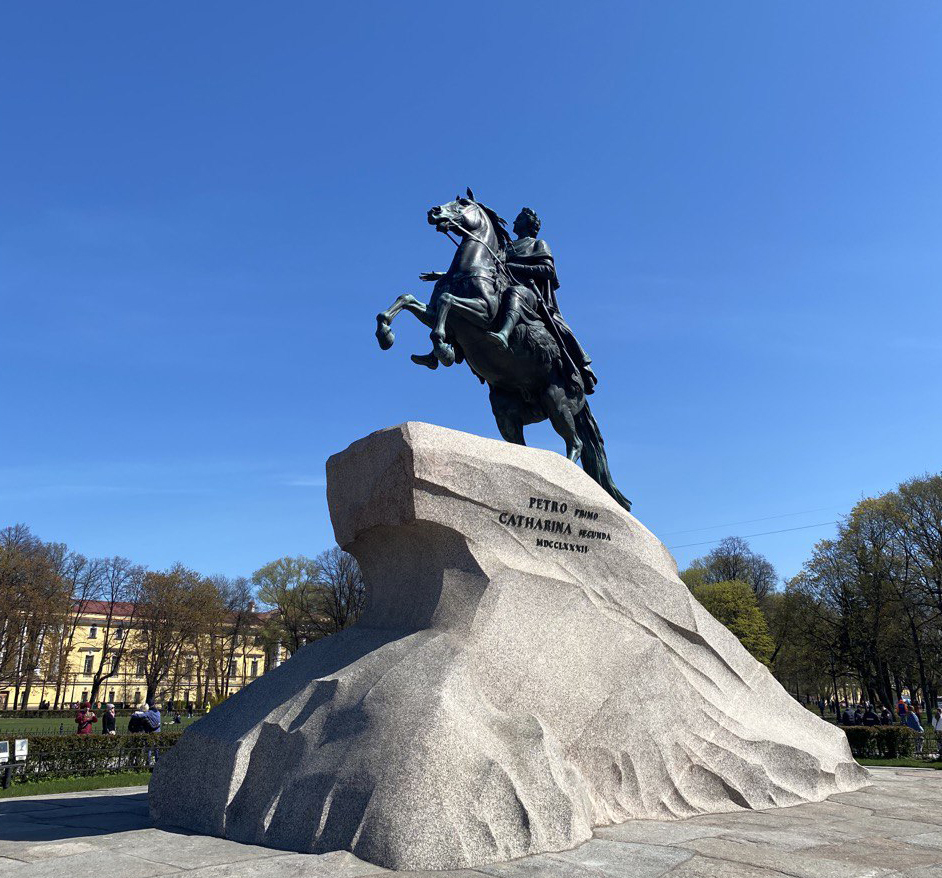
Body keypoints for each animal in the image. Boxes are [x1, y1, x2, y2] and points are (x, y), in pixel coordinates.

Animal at [372, 189, 632, 512]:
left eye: (463, 204)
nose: (433, 212)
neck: (471, 268)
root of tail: (583, 390)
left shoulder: (482, 314)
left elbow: (447, 301)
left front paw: (443, 347)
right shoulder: (432, 313)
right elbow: (407, 299)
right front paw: (388, 335)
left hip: (556, 401)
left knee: (576, 444)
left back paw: (568, 477)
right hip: (505, 412)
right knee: (521, 445)